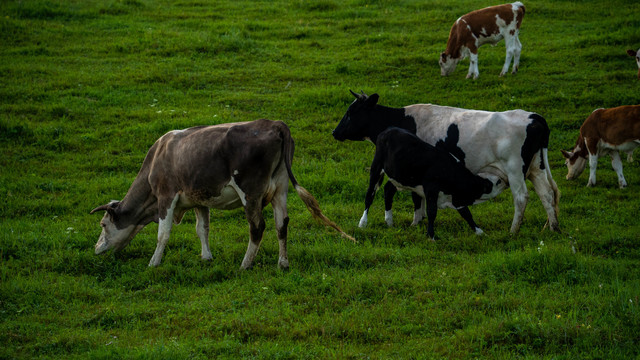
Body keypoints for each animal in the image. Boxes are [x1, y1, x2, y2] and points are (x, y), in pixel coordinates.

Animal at [89, 119, 356, 268]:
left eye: (103, 224)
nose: (96, 248)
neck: (158, 157)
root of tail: (274, 123)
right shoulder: (199, 198)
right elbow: (202, 229)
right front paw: (206, 257)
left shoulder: (166, 196)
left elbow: (163, 234)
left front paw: (154, 263)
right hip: (280, 189)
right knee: (282, 224)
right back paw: (283, 263)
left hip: (251, 192)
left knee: (257, 227)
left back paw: (245, 264)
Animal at [362, 126, 502, 239]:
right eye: (493, 183)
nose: (501, 178)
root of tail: (389, 130)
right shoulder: (431, 188)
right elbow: (432, 212)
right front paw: (431, 236)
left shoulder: (456, 198)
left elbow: (467, 214)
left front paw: (480, 232)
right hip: (376, 167)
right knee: (369, 195)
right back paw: (363, 223)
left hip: (400, 177)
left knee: (388, 190)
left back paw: (389, 221)